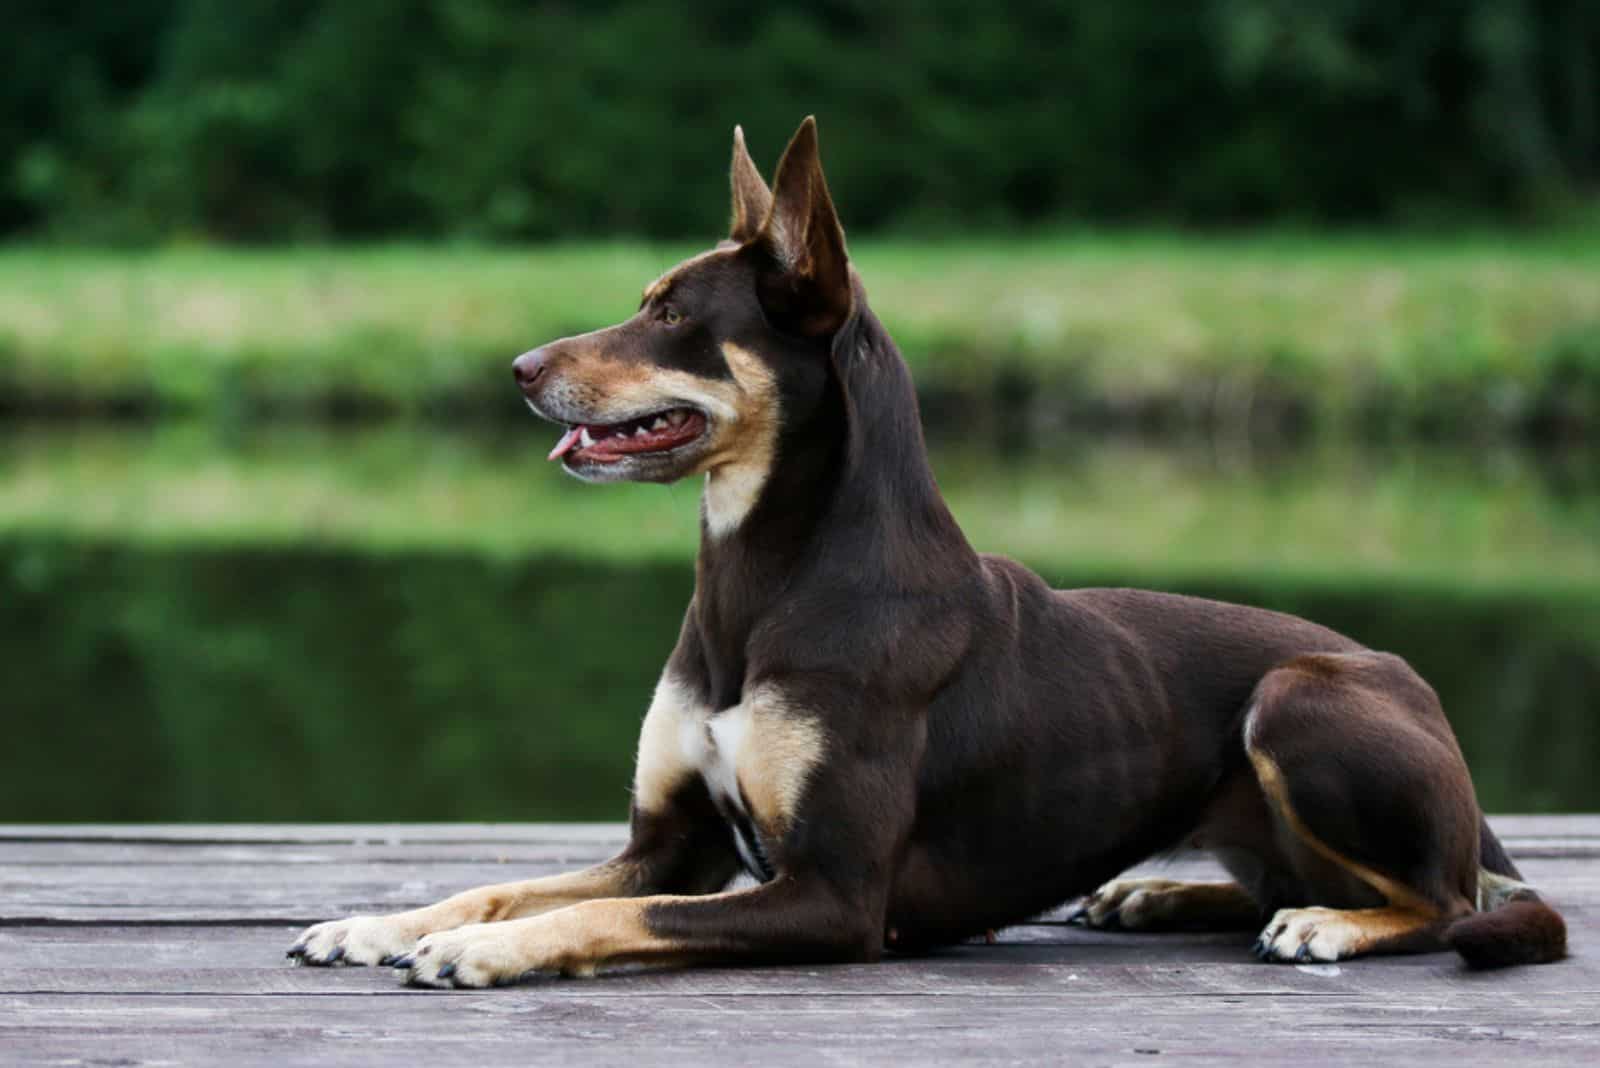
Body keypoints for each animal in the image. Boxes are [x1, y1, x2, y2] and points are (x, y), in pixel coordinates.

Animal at [284, 115, 1561, 984]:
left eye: (670, 314)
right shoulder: (670, 847)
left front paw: (488, 954)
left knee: (1449, 904)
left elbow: (591, 914)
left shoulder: (831, 896)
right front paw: (377, 923)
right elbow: (505, 884)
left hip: (1299, 700)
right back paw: (1154, 897)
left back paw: (1327, 925)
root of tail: (1420, 698)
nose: (516, 370)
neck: (768, 579)